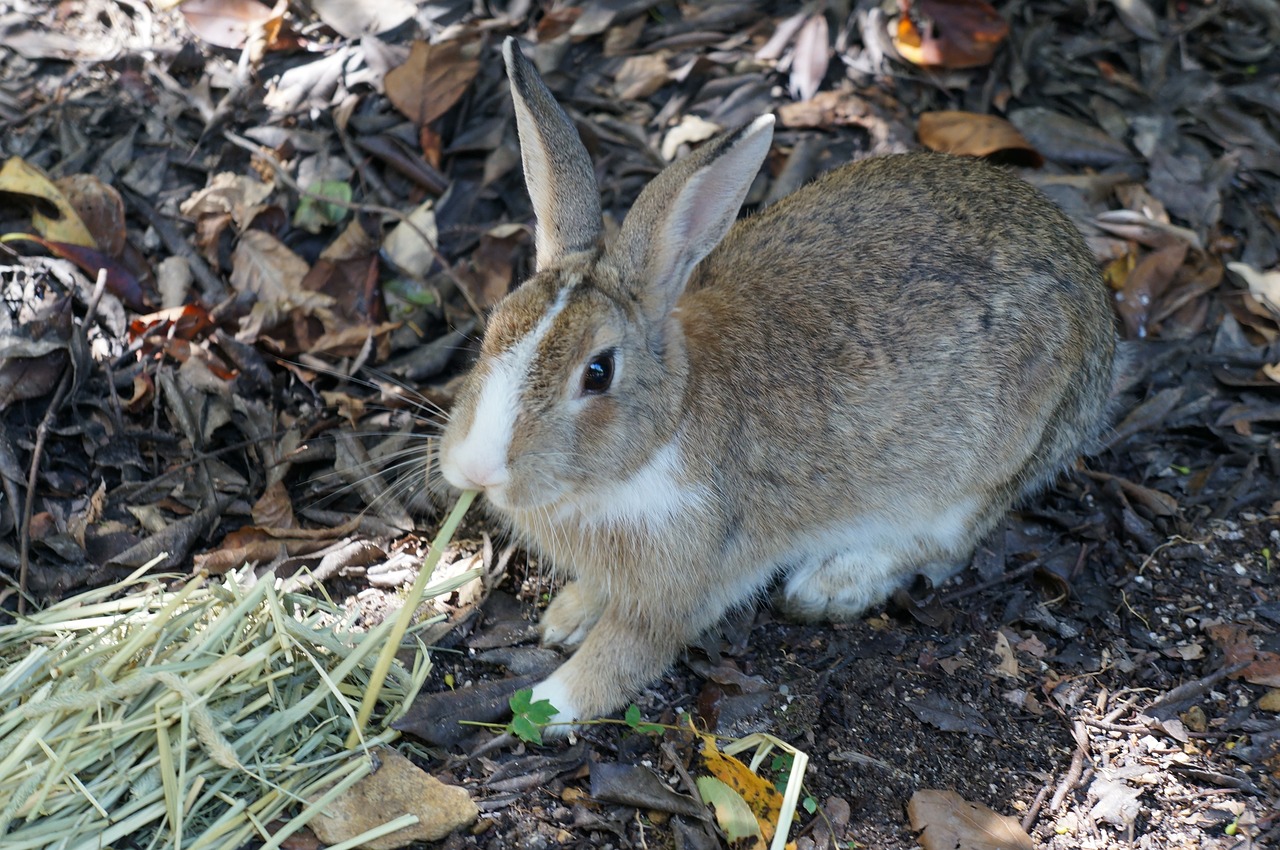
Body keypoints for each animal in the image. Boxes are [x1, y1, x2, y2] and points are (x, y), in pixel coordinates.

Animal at [435, 38, 1116, 732]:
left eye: (598, 373)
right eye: (493, 327)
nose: (476, 469)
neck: (658, 435)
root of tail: (1098, 321)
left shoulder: (679, 587)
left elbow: (627, 653)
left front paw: (553, 703)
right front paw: (565, 617)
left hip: (973, 471)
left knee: (944, 545)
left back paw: (831, 585)